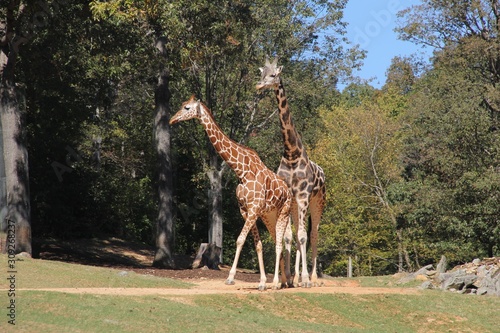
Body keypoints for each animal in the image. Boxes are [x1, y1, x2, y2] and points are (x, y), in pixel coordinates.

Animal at [169, 94, 292, 290]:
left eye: (187, 108)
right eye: (182, 105)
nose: (172, 119)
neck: (242, 171)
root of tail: (289, 191)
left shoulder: (253, 210)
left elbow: (240, 240)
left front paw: (231, 277)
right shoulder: (247, 211)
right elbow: (257, 244)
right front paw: (261, 282)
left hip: (284, 212)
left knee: (280, 243)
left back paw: (277, 283)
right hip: (269, 215)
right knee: (277, 240)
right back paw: (283, 281)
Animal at [256, 57, 326, 286]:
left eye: (273, 75)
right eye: (261, 74)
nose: (259, 86)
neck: (291, 152)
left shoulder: (304, 196)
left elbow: (303, 236)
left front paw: (304, 279)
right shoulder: (290, 197)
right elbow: (288, 237)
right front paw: (287, 278)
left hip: (317, 203)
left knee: (313, 235)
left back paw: (312, 277)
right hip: (296, 205)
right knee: (296, 235)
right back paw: (295, 277)